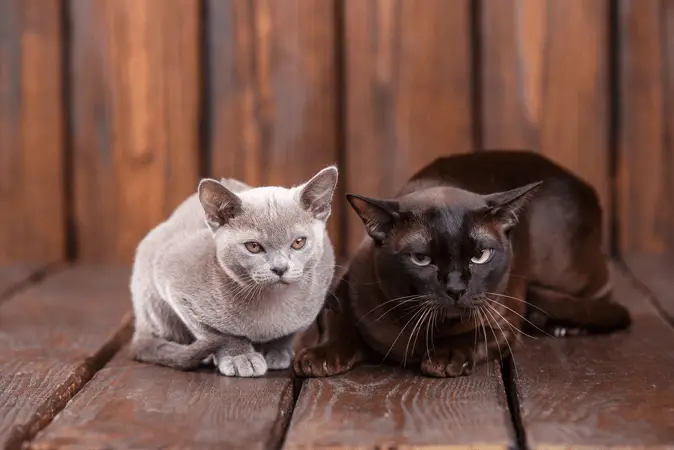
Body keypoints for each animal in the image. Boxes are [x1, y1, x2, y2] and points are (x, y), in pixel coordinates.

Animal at [127, 165, 336, 376]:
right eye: (253, 246)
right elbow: (221, 334)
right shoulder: (173, 284)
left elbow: (286, 333)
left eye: (298, 242)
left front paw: (276, 350)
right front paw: (240, 357)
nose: (280, 268)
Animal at [294, 152, 632, 380]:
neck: (411, 327)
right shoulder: (337, 300)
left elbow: (468, 337)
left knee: (602, 294)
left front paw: (443, 359)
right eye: (421, 259)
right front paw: (318, 358)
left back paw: (565, 326)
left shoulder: (502, 326)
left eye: (480, 256)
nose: (456, 288)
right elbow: (338, 330)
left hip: (565, 273)